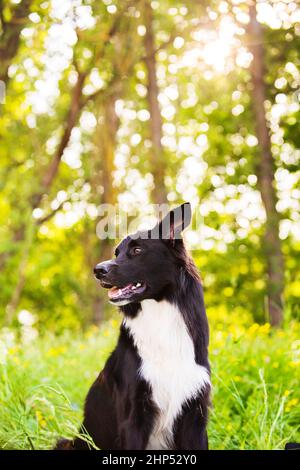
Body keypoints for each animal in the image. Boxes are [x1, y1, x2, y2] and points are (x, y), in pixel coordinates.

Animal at [56, 203, 211, 452]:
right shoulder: (133, 415)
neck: (160, 315)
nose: (98, 270)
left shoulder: (194, 414)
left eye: (137, 250)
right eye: (116, 253)